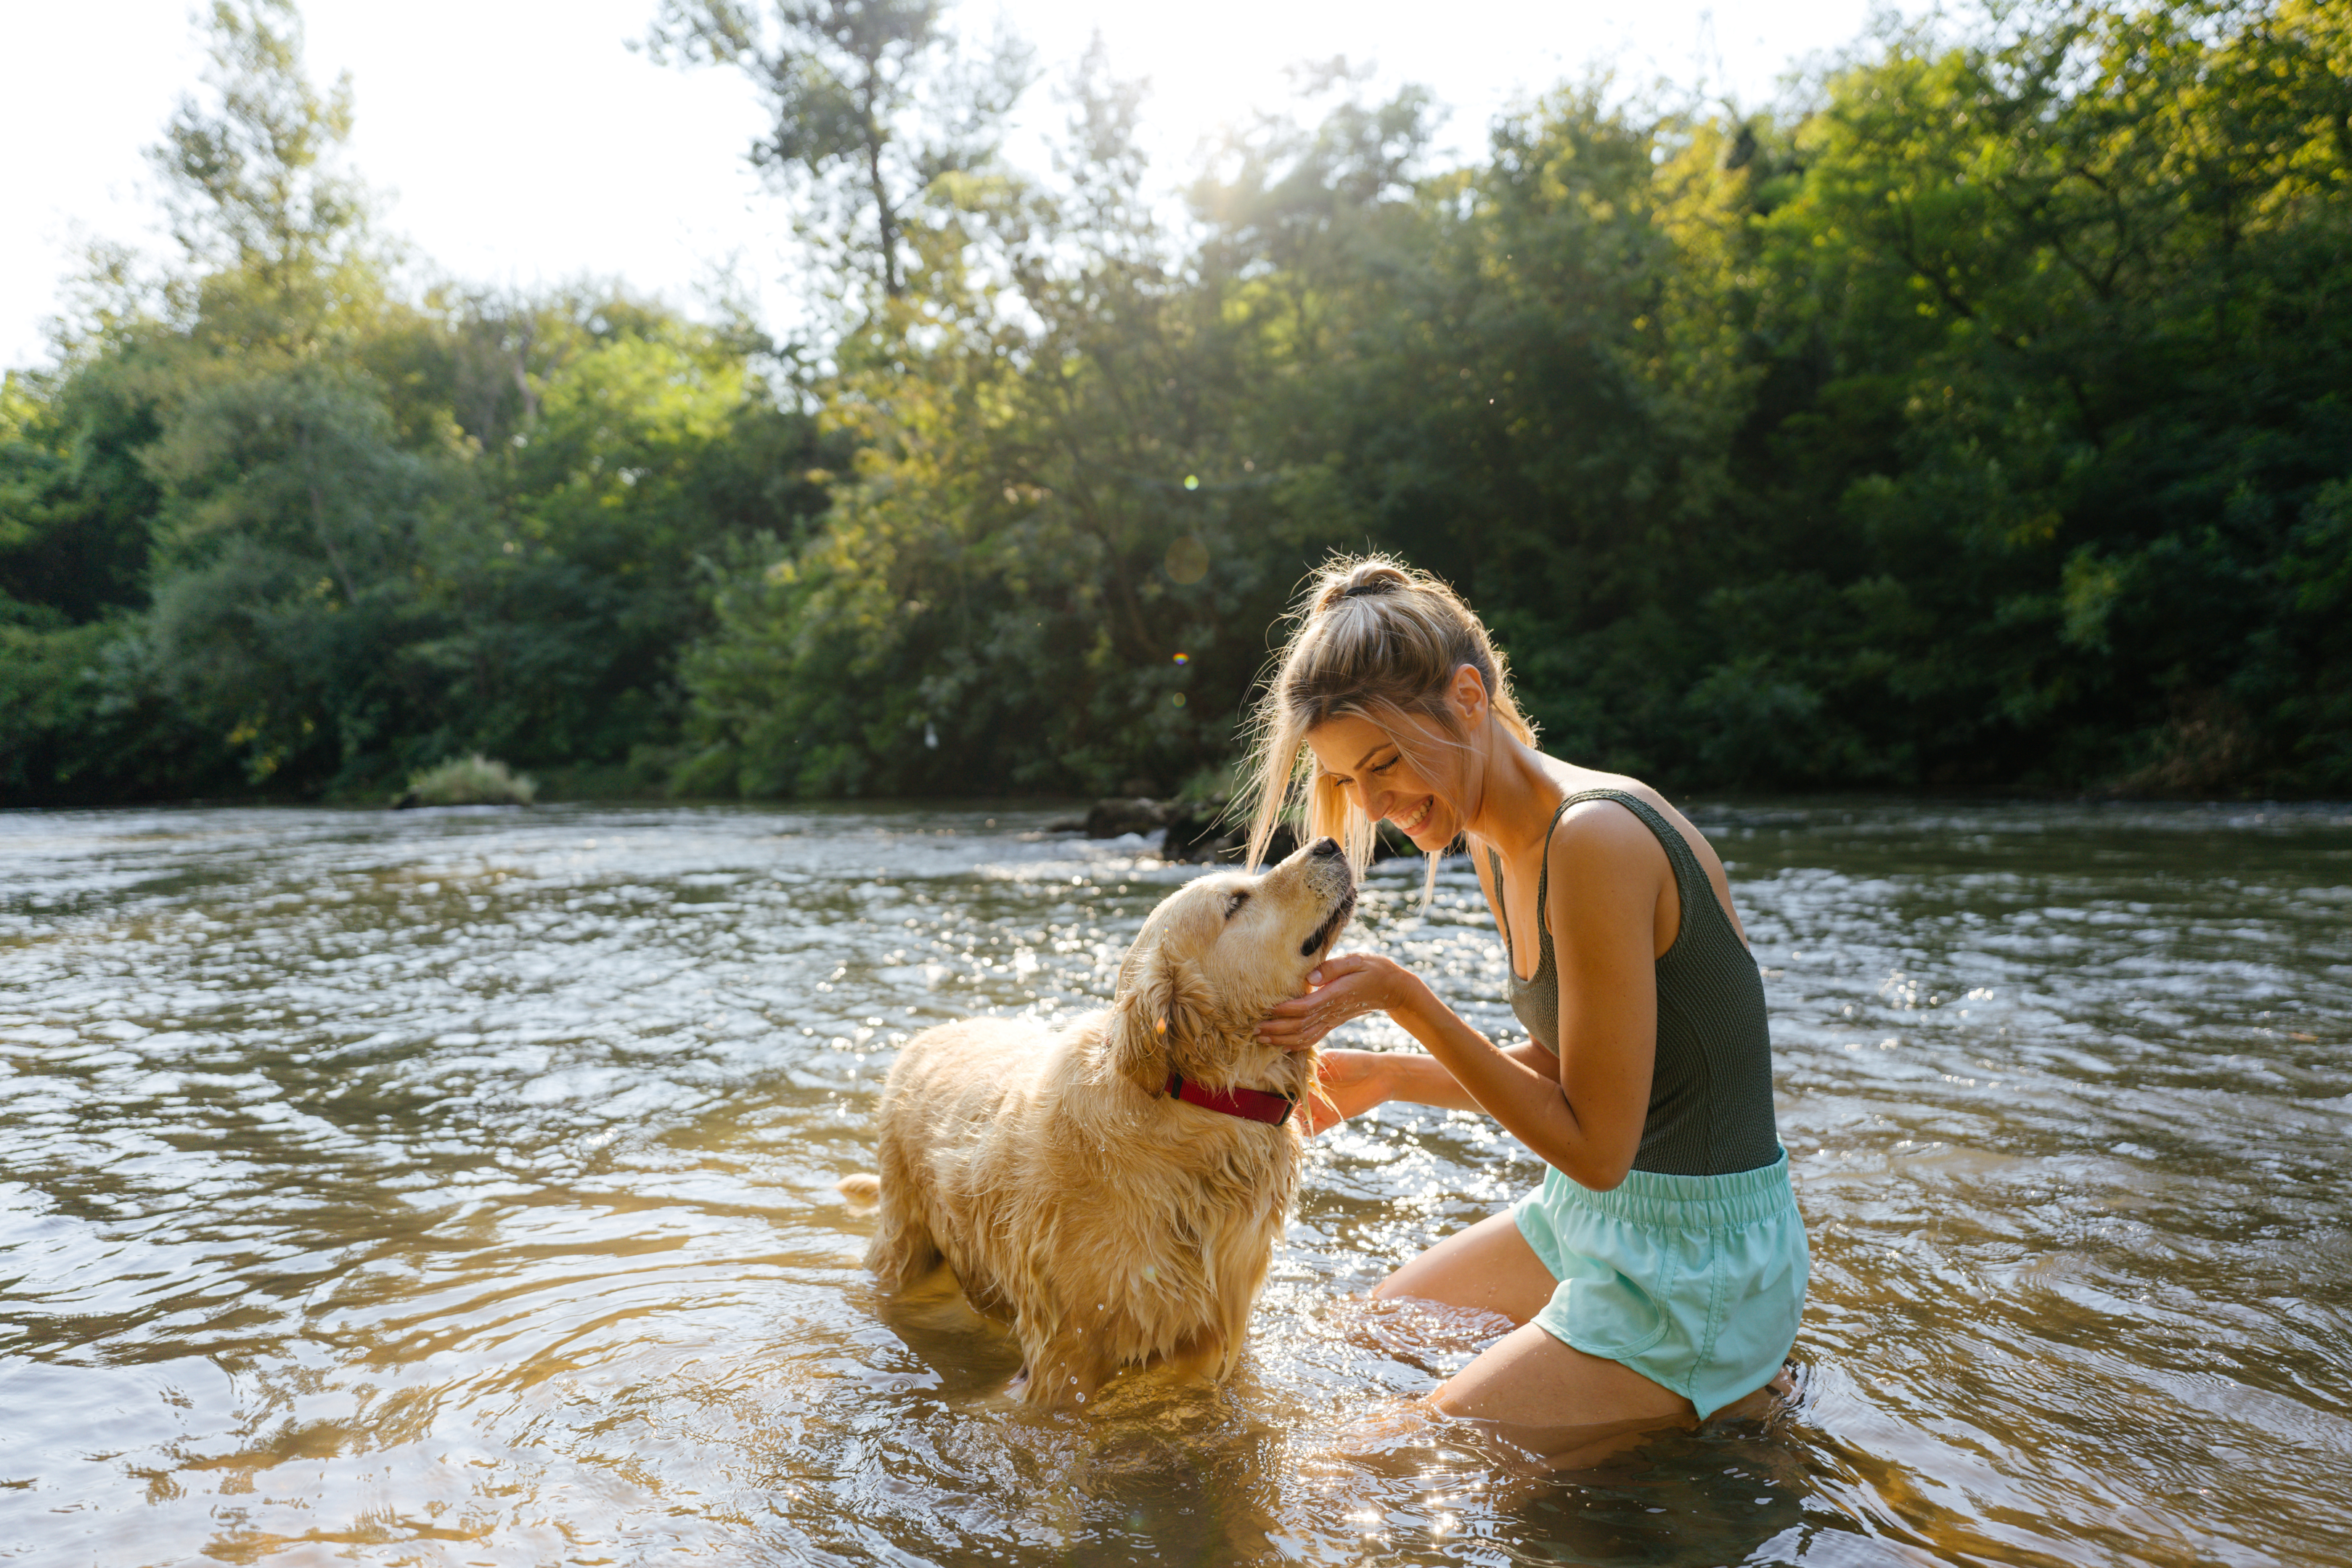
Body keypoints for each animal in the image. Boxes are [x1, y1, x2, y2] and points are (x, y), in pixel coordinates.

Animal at [841, 841, 1364, 1419]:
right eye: (1235, 902)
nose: (1329, 844)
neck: (1197, 1100)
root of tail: (928, 1035)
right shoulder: (1063, 1351)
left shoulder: (1220, 1324)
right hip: (906, 1247)